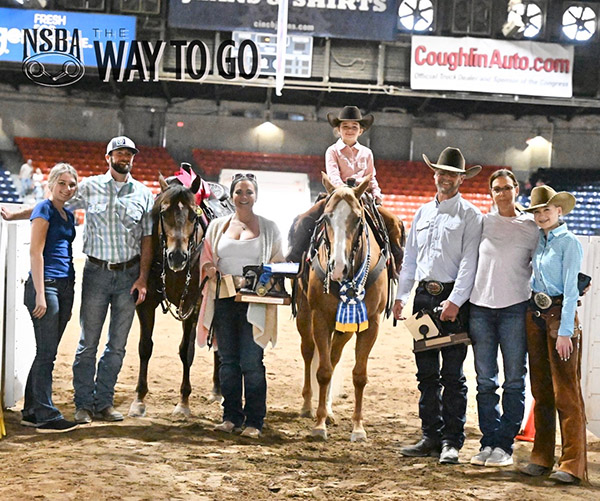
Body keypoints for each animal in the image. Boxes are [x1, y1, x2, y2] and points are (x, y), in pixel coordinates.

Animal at [128, 165, 232, 418]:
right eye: (163, 212)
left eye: (194, 215)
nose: (177, 256)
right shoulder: (146, 302)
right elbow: (145, 347)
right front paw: (139, 400)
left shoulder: (193, 305)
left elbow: (186, 351)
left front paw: (183, 402)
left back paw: (219, 391)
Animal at [293, 173, 399, 441]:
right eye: (326, 218)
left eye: (358, 218)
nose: (338, 267)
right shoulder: (320, 317)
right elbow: (322, 371)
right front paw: (319, 425)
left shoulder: (370, 323)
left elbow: (359, 375)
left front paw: (358, 428)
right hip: (304, 314)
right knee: (309, 352)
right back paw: (308, 406)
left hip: (345, 328)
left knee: (333, 355)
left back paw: (329, 411)